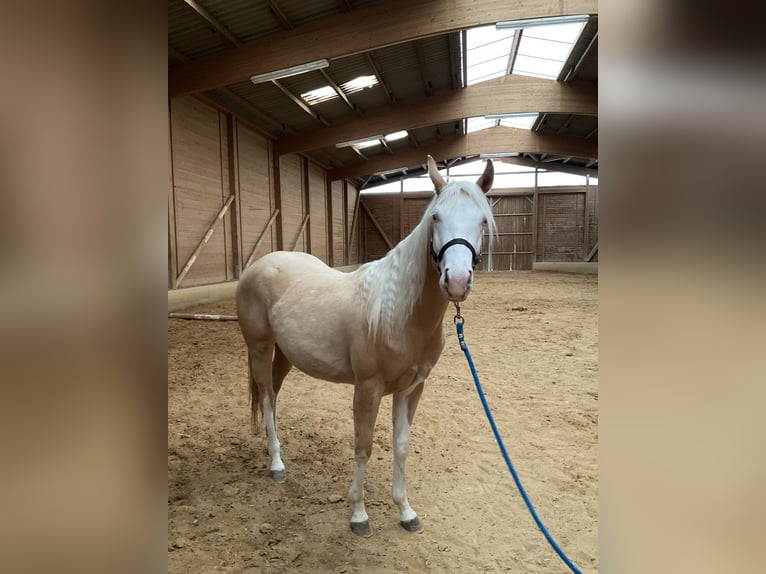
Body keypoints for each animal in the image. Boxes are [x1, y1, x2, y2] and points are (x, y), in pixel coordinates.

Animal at [236, 155, 496, 537]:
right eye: (435, 216)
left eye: (482, 219)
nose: (457, 281)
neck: (397, 312)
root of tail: (258, 265)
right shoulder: (367, 389)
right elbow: (363, 446)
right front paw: (359, 515)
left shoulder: (412, 389)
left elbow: (401, 446)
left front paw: (405, 511)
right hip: (259, 347)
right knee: (267, 396)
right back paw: (277, 464)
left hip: (284, 354)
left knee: (274, 394)